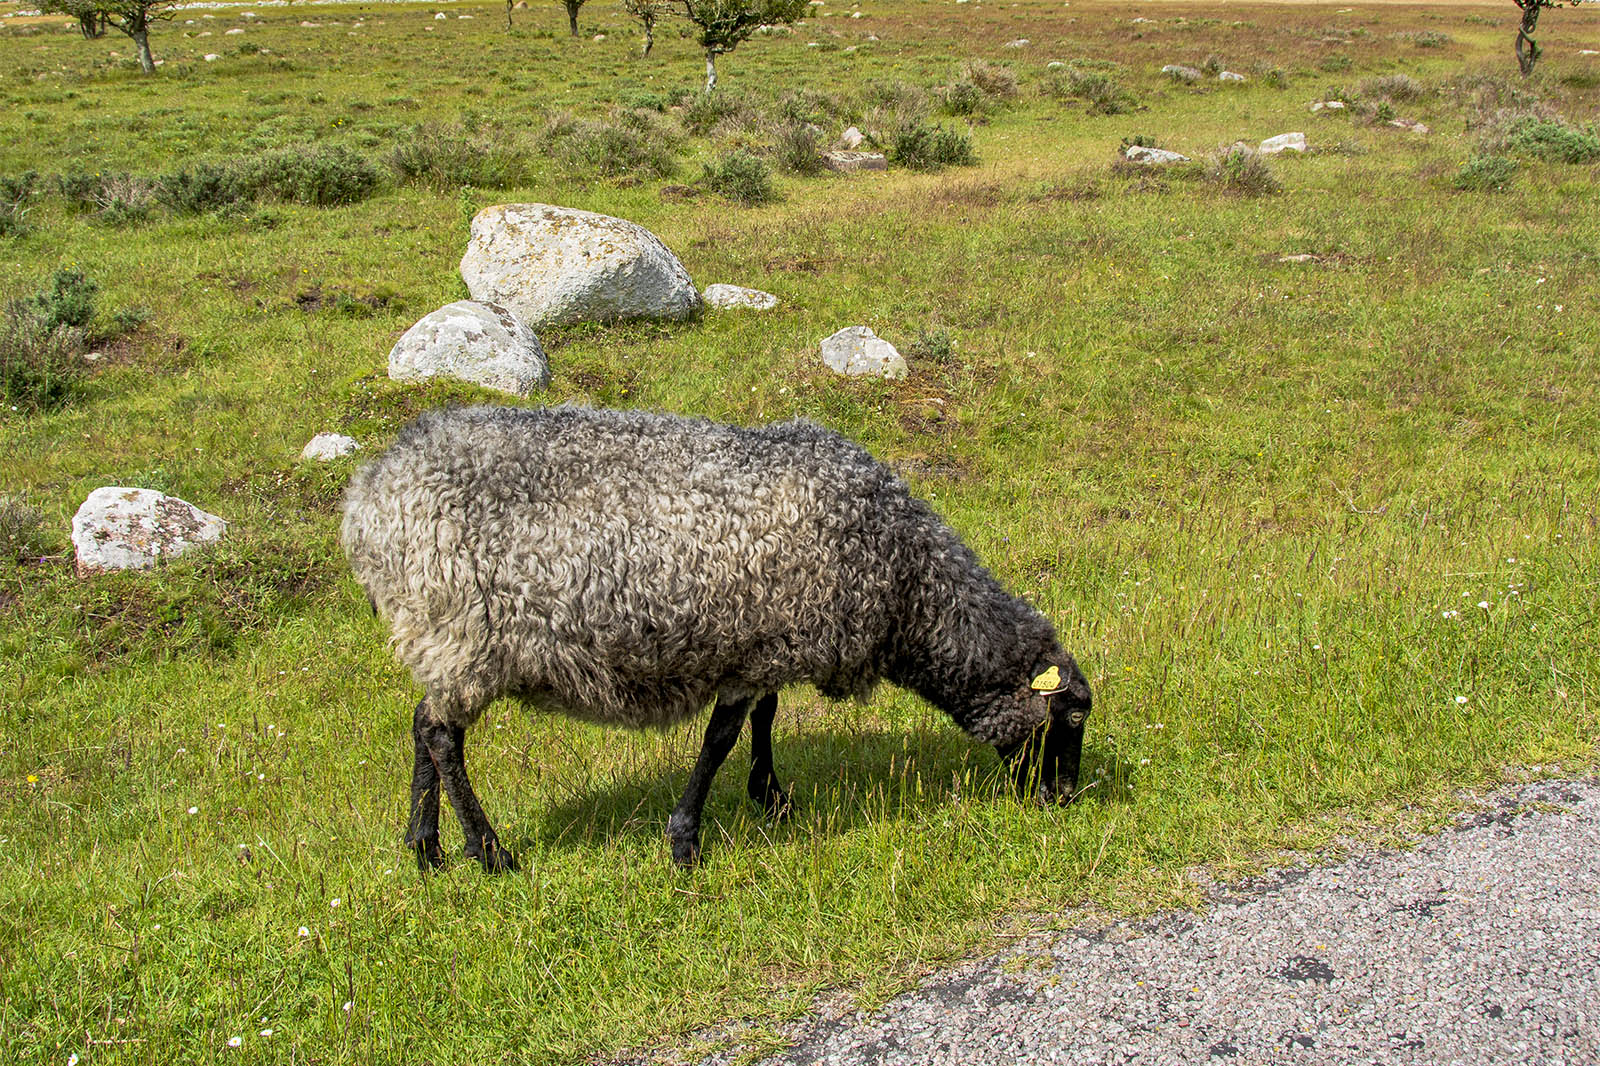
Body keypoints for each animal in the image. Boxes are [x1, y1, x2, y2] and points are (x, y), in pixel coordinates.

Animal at [344, 403, 1094, 870]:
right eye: (1074, 715)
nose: (1065, 799)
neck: (903, 580)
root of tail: (366, 497)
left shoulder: (767, 642)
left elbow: (764, 718)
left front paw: (771, 796)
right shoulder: (752, 651)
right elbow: (721, 739)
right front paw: (686, 841)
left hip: (439, 642)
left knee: (421, 724)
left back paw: (425, 847)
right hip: (461, 633)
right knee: (442, 736)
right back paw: (490, 852)